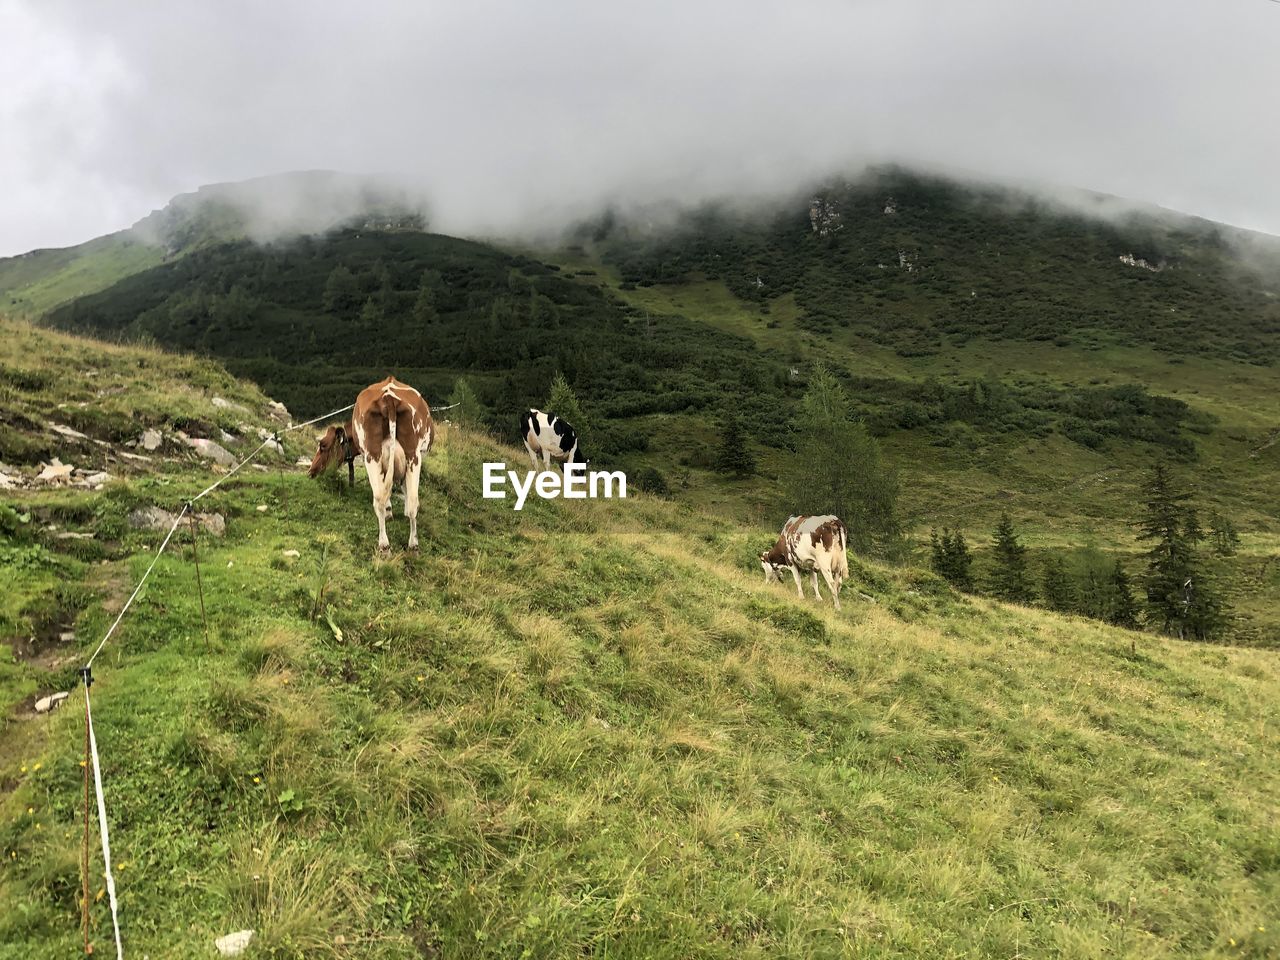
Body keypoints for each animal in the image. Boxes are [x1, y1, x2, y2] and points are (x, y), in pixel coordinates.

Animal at [309, 378, 435, 555]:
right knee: (408, 500)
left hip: (374, 456)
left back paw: (386, 545)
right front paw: (392, 511)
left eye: (323, 446)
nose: (311, 471)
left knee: (382, 498)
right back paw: (410, 545)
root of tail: (388, 397)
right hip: (411, 456)